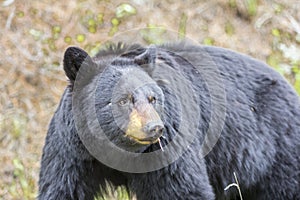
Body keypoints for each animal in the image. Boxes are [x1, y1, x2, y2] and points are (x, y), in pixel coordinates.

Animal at [38, 41, 298, 199]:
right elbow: (61, 187)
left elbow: (182, 188)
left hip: (278, 156)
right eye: (123, 100)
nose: (154, 128)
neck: (117, 152)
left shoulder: (168, 145)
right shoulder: (71, 150)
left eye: (152, 98)